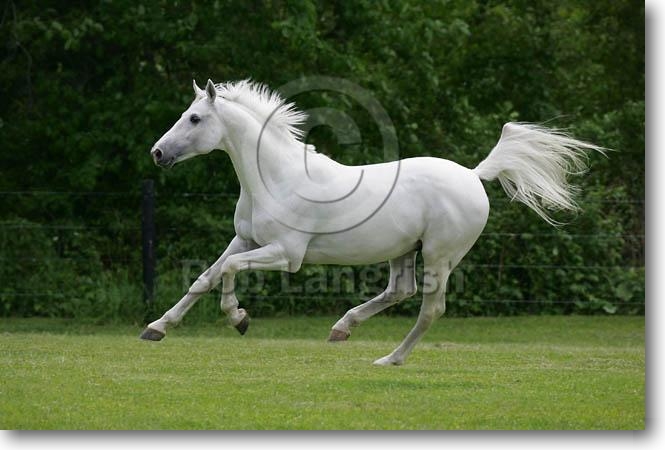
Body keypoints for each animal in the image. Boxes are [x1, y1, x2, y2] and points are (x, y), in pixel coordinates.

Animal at [140, 78, 604, 366]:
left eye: (195, 118)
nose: (157, 153)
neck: (276, 178)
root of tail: (474, 175)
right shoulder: (244, 240)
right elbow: (205, 277)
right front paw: (157, 328)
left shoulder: (286, 254)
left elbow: (229, 273)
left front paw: (239, 319)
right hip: (404, 252)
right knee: (400, 291)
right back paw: (342, 329)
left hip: (440, 257)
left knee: (430, 309)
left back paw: (390, 359)